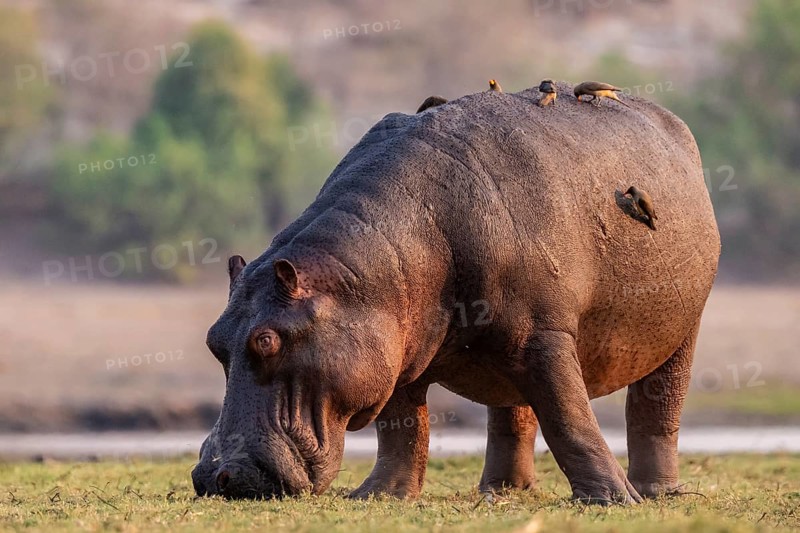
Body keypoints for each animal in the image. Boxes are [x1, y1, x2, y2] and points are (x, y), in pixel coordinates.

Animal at [192, 81, 720, 504]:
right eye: (214, 341)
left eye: (267, 340)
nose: (217, 476)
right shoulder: (395, 352)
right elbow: (402, 429)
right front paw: (379, 496)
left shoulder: (548, 338)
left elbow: (570, 418)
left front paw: (614, 501)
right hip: (507, 350)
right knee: (511, 413)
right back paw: (501, 492)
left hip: (681, 328)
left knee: (657, 406)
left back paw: (655, 491)